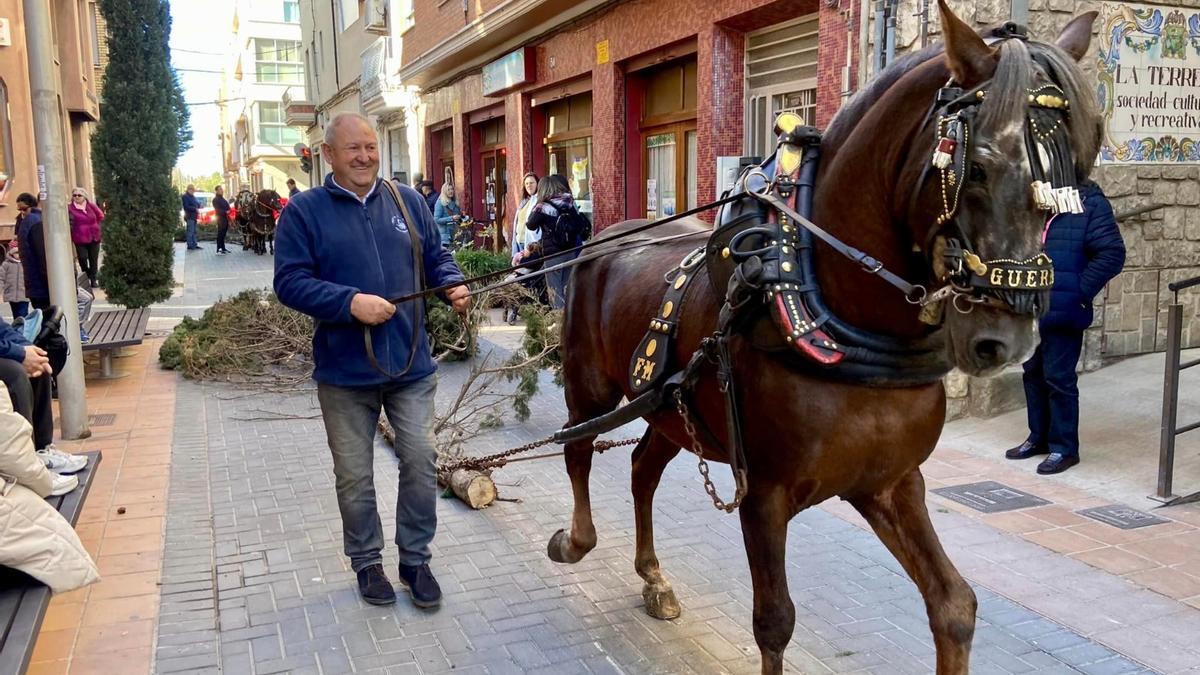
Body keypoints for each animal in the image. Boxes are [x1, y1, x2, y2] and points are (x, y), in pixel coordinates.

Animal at [549, 2, 1099, 667]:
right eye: (980, 166)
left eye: (1078, 174)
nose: (1008, 340)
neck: (844, 321)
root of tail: (603, 237)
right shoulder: (765, 493)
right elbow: (774, 622)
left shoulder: (890, 483)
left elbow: (954, 605)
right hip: (590, 387)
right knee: (578, 449)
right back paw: (575, 540)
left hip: (671, 408)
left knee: (641, 469)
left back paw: (654, 577)